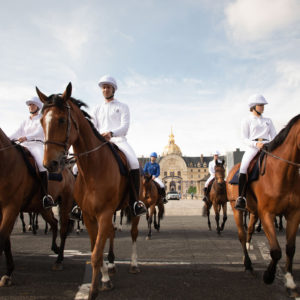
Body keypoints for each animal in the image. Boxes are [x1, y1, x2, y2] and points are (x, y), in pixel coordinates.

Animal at [0, 128, 74, 286]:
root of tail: (67, 170)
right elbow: (6, 239)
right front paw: (8, 272)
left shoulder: (11, 208)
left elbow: (2, 237)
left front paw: (8, 273)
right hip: (42, 208)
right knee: (54, 223)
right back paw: (55, 248)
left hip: (65, 203)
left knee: (63, 229)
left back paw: (59, 260)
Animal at [36, 82, 141, 300]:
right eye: (42, 121)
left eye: (61, 119)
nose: (50, 164)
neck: (94, 167)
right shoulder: (89, 214)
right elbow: (95, 250)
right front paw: (104, 279)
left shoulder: (104, 213)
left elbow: (95, 254)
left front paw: (93, 290)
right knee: (111, 233)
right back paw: (112, 265)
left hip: (134, 208)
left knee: (134, 233)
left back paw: (134, 264)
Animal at [227, 114, 300, 298]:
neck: (284, 173)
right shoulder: (267, 213)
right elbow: (275, 250)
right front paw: (268, 276)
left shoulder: (294, 214)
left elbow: (290, 248)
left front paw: (290, 282)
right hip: (237, 209)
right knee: (241, 235)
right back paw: (248, 264)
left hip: (253, 211)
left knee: (249, 232)